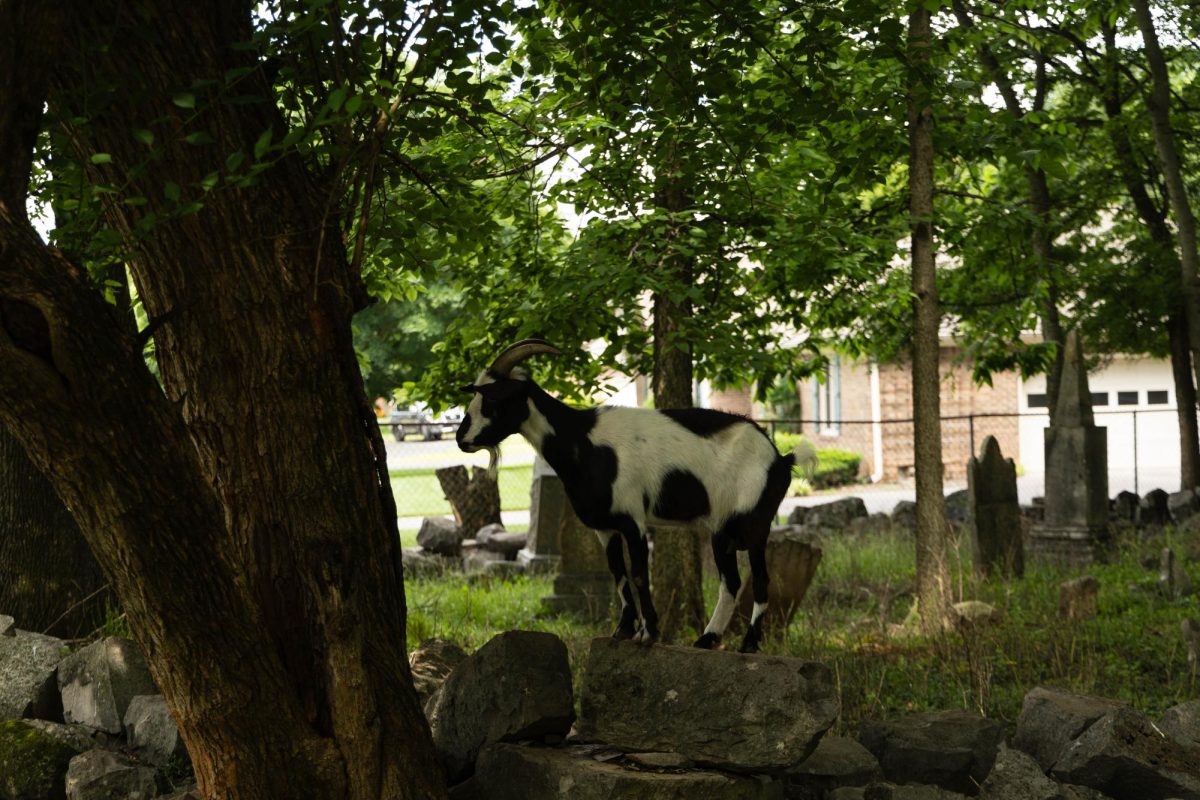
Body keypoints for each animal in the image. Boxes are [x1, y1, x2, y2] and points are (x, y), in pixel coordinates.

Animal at [456, 339, 805, 653]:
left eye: (492, 400)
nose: (461, 439)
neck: (583, 441)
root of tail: (780, 458)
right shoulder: (604, 526)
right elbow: (618, 575)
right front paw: (622, 630)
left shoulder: (632, 518)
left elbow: (638, 574)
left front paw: (648, 633)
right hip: (722, 530)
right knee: (731, 582)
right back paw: (707, 639)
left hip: (753, 522)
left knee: (759, 581)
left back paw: (748, 645)